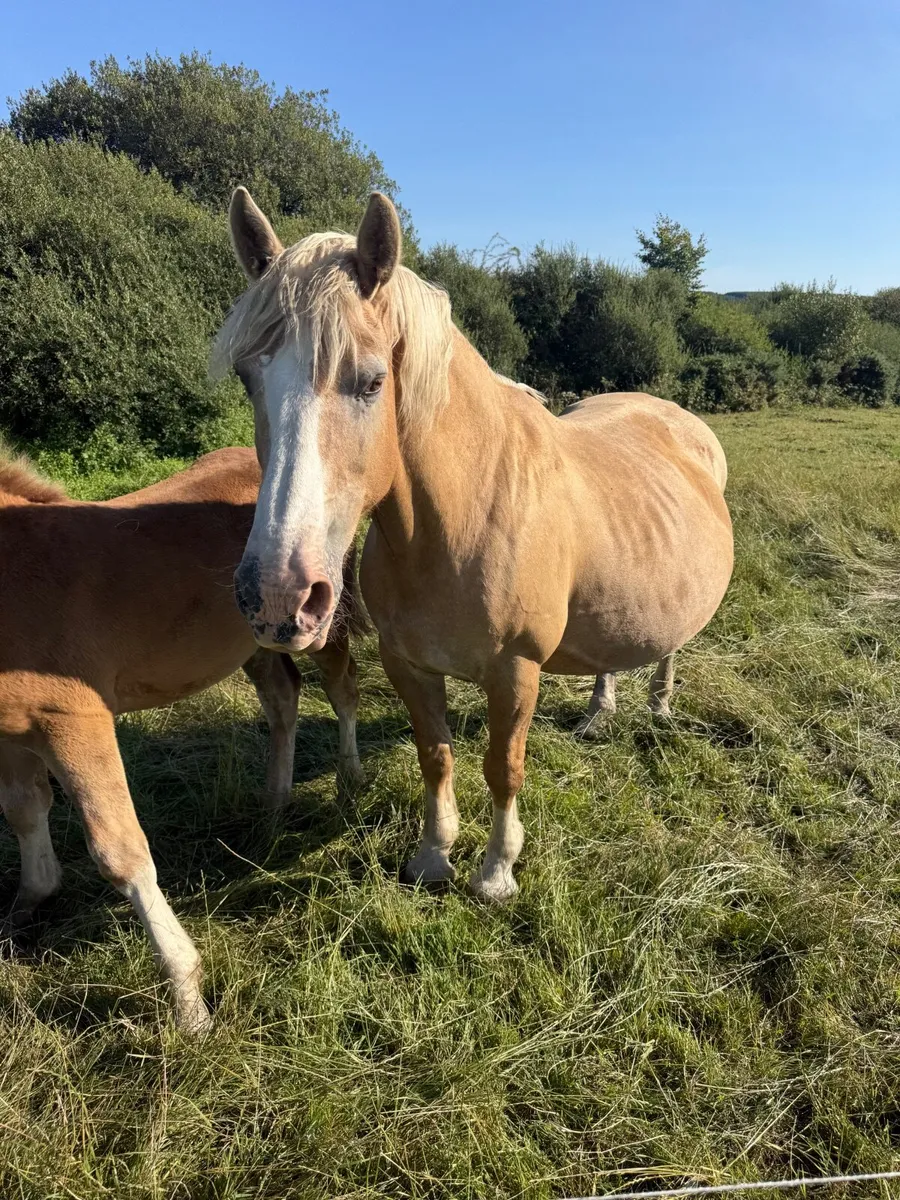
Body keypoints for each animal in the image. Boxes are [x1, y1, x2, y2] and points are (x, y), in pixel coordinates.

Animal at [0, 447, 362, 1033]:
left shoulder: (75, 719)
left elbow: (120, 852)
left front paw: (189, 1001)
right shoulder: (11, 732)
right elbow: (24, 812)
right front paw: (24, 909)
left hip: (323, 619)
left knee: (342, 686)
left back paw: (349, 781)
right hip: (254, 641)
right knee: (282, 698)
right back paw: (273, 803)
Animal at [213, 188, 733, 904]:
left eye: (371, 382)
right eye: (246, 378)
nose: (277, 596)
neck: (458, 525)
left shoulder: (516, 671)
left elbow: (501, 767)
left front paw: (495, 873)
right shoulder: (407, 664)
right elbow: (436, 757)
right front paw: (434, 857)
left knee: (669, 647)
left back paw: (658, 704)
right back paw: (599, 713)